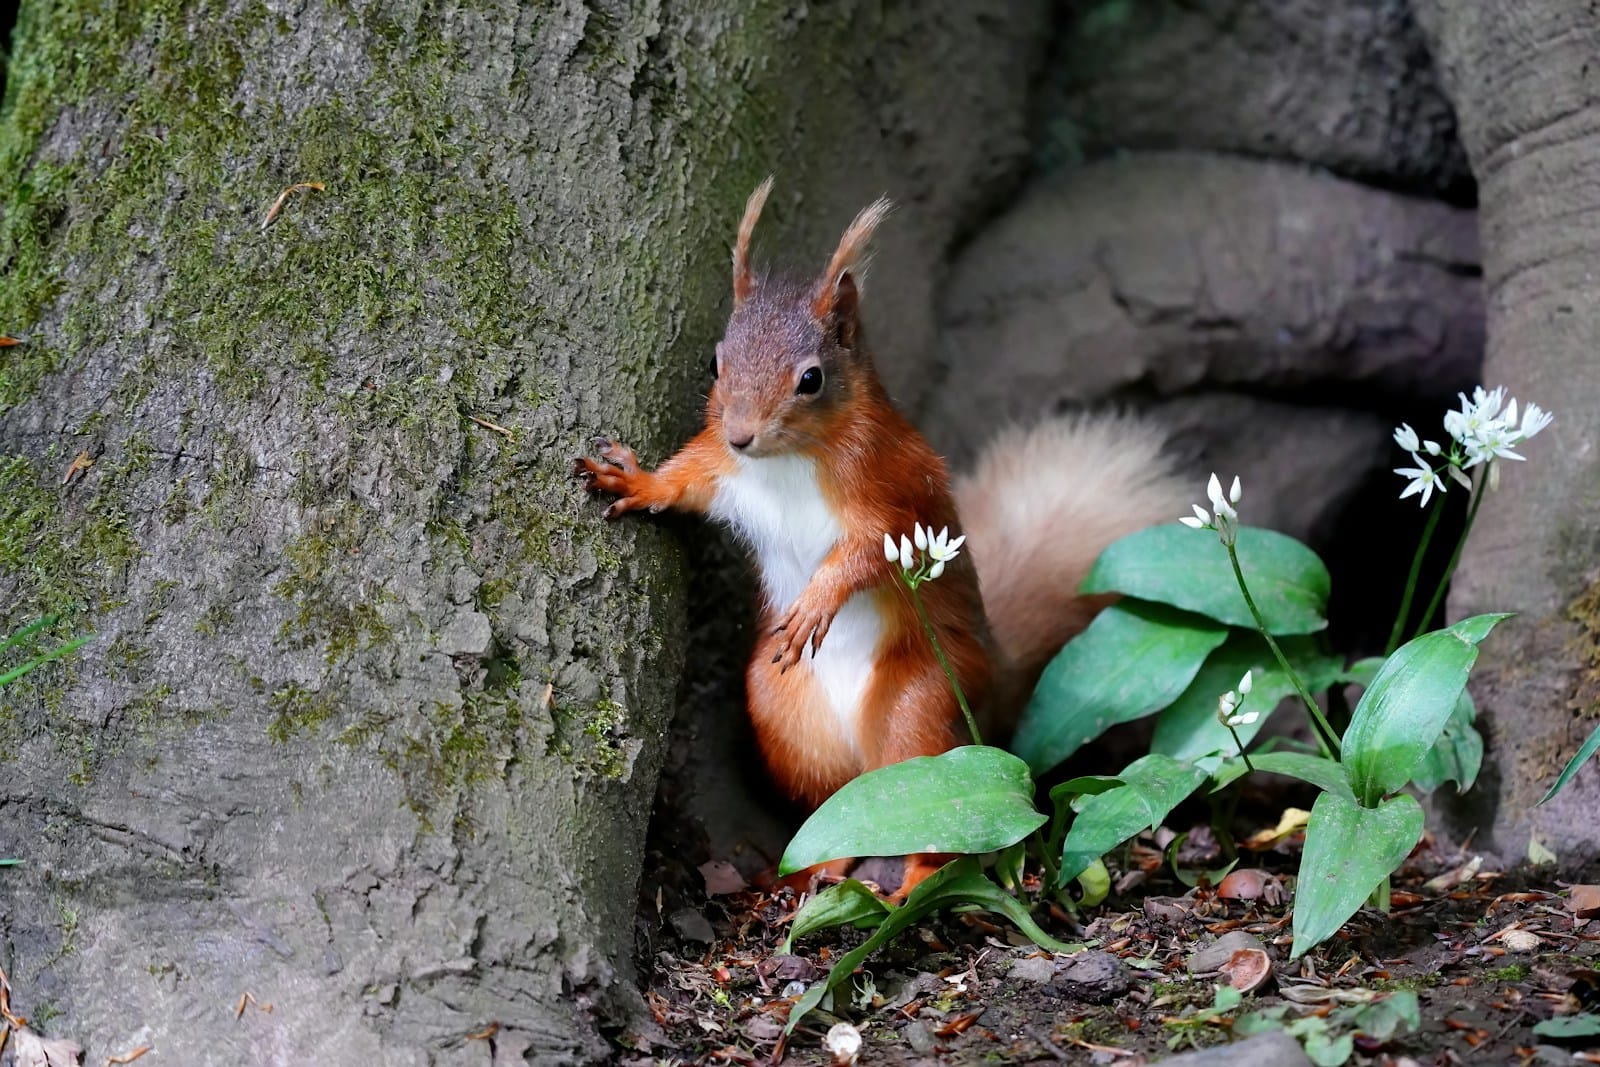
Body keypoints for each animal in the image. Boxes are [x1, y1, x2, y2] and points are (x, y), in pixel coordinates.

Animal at [575, 178, 1187, 892]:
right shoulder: (723, 468)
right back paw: (814, 868)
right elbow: (685, 482)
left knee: (931, 806)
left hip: (922, 702)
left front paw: (818, 601)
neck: (787, 461)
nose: (742, 434)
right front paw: (634, 481)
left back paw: (918, 881)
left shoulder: (890, 489)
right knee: (834, 809)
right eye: (714, 362)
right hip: (785, 716)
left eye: (811, 378)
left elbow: (870, 551)